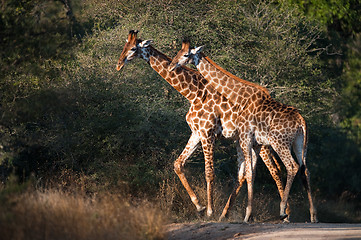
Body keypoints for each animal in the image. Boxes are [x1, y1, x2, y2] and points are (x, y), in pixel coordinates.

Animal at [116, 31, 286, 219]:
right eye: (124, 45)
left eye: (133, 48)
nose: (118, 65)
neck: (193, 93)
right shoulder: (196, 133)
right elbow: (178, 164)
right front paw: (199, 206)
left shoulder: (207, 133)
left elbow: (209, 172)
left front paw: (210, 210)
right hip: (247, 141)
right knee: (248, 173)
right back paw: (226, 214)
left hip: (259, 141)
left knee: (274, 170)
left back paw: (285, 214)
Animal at [167, 40, 316, 222]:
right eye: (178, 51)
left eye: (186, 54)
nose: (172, 66)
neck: (241, 96)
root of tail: (301, 121)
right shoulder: (255, 142)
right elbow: (250, 173)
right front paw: (247, 214)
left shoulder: (245, 137)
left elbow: (248, 174)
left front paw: (247, 215)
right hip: (300, 144)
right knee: (305, 170)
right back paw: (313, 216)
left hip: (280, 143)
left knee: (292, 166)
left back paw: (283, 211)